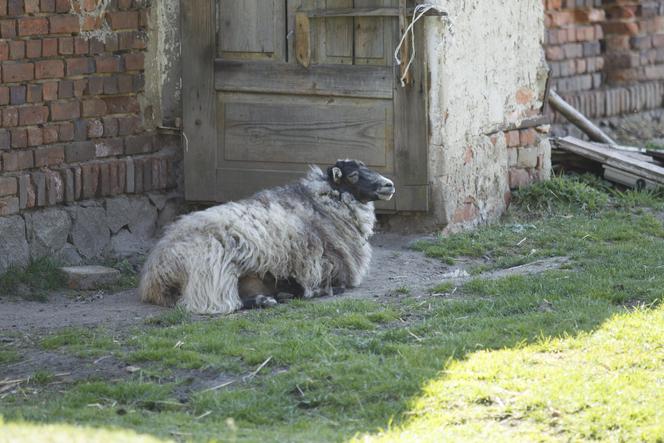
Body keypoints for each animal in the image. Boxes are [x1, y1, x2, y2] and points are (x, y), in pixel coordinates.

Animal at [139, 160, 394, 316]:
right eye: (353, 175)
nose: (389, 184)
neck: (321, 205)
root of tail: (156, 273)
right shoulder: (323, 266)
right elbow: (335, 287)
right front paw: (309, 291)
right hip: (211, 269)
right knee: (218, 302)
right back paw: (268, 300)